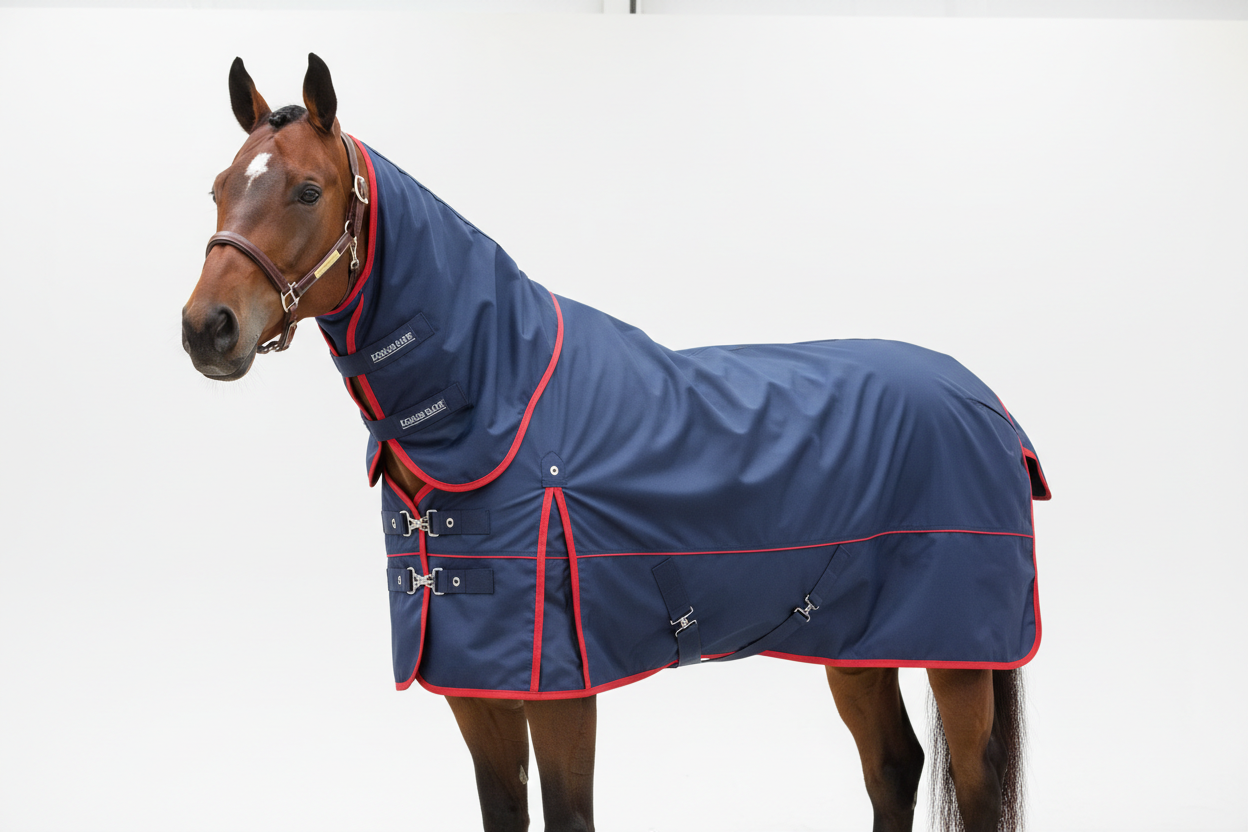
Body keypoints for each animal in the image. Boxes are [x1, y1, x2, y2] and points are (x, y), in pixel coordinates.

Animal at [183, 54, 1046, 832]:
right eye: (219, 187)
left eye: (307, 190)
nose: (206, 329)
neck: (498, 400)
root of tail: (990, 403)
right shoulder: (472, 685)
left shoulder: (562, 691)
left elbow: (570, 816)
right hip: (852, 643)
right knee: (894, 766)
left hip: (959, 660)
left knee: (971, 787)